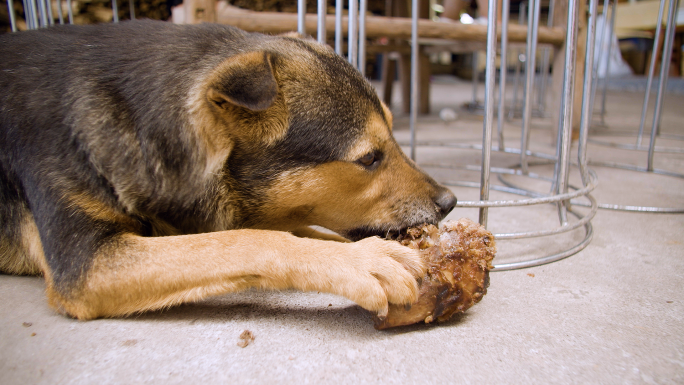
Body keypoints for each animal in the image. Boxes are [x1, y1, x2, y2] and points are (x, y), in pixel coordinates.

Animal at [2, 19, 456, 320]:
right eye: (368, 158)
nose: (450, 202)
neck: (142, 128)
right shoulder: (85, 262)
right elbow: (241, 241)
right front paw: (361, 260)